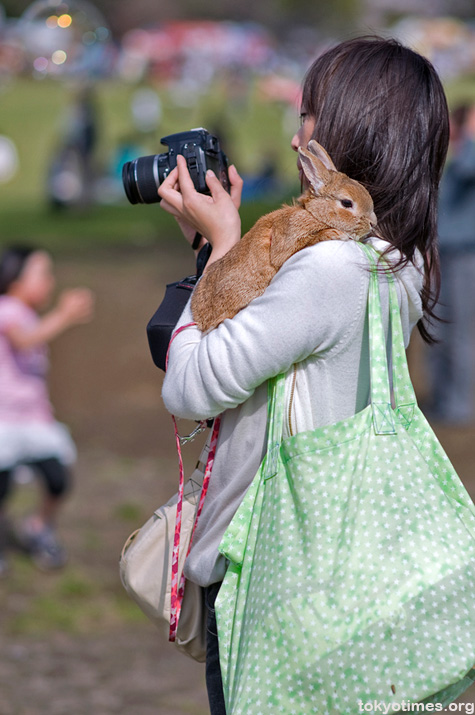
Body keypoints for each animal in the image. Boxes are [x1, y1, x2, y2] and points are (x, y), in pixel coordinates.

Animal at [192, 141, 378, 334]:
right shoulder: (288, 241)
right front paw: (335, 233)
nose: (373, 223)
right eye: (347, 203)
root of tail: (202, 321)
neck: (313, 214)